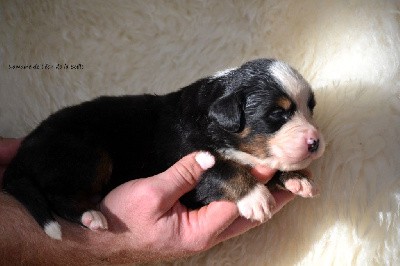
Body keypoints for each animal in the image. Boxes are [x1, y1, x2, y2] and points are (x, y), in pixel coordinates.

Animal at [3, 58, 324, 241]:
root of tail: (23, 151)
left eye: (310, 108)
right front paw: (255, 196)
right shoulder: (191, 157)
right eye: (277, 114)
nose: (316, 142)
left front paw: (296, 178)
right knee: (56, 195)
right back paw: (89, 215)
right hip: (88, 154)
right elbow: (222, 171)